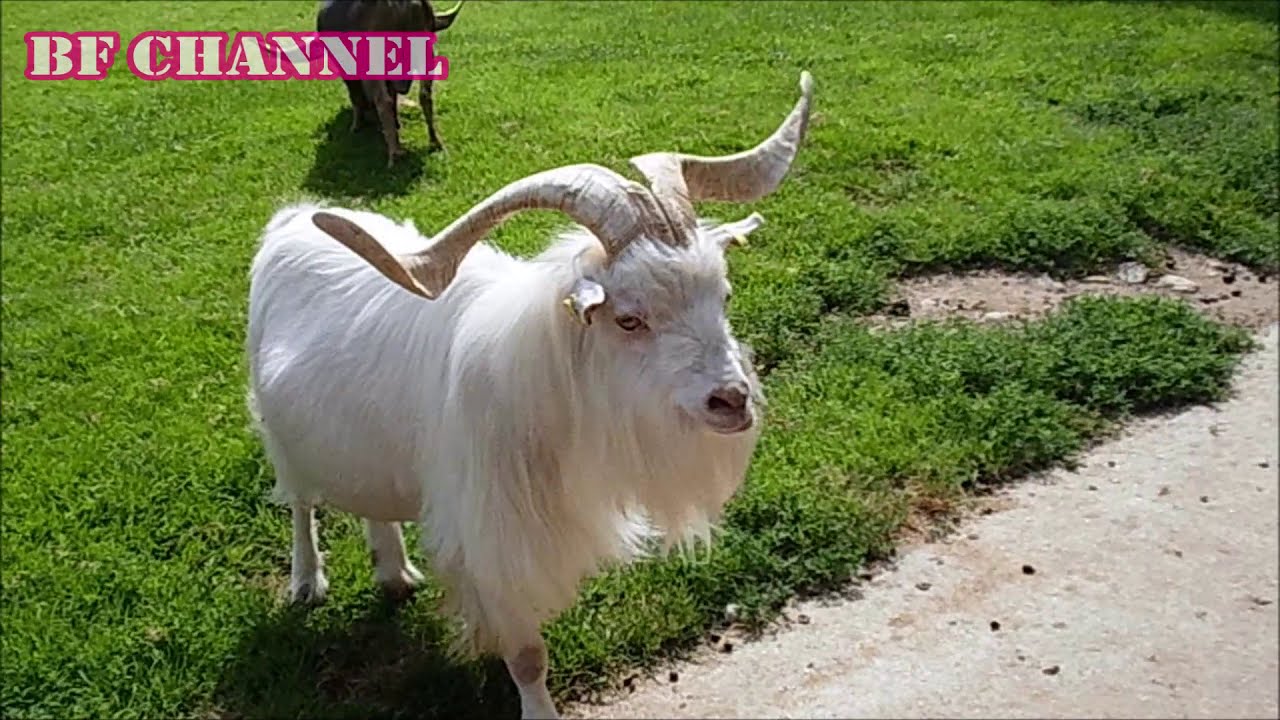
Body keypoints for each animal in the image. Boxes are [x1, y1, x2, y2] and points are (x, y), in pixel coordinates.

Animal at [246, 71, 815, 718]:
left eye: (723, 296)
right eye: (628, 319)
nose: (732, 400)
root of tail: (291, 221)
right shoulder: (496, 540)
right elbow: (526, 656)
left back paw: (393, 573)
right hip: (279, 428)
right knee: (299, 502)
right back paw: (307, 583)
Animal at [316, 0, 463, 167]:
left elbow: (356, 97)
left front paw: (356, 125)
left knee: (383, 101)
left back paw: (394, 154)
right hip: (425, 53)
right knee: (425, 95)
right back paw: (435, 142)